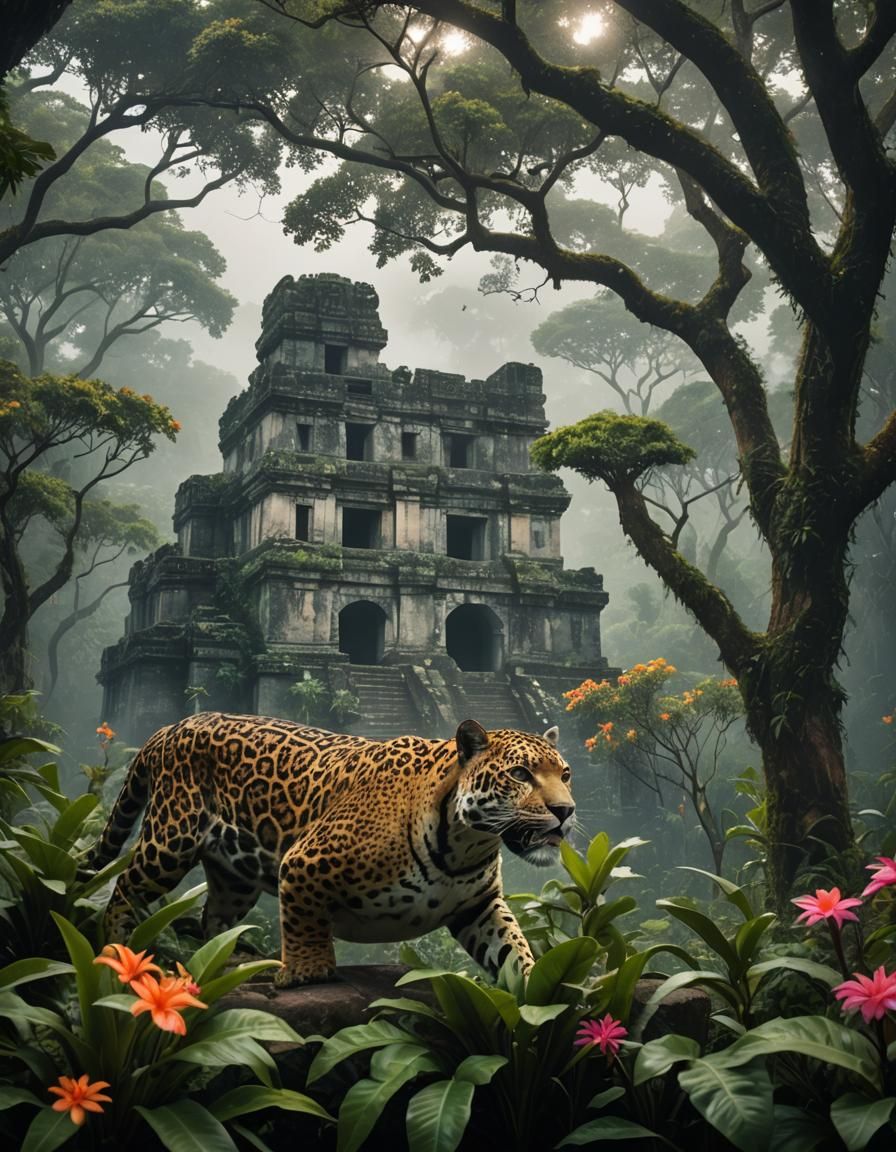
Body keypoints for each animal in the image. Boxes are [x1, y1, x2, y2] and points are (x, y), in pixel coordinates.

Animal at [90, 711, 576, 987]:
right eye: (519, 774)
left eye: (565, 774)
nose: (566, 811)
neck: (464, 843)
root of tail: (173, 725)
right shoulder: (302, 863)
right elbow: (304, 925)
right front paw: (306, 972)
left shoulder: (478, 906)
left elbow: (511, 945)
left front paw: (536, 988)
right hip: (170, 840)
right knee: (123, 889)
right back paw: (118, 952)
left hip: (234, 875)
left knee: (214, 917)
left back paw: (237, 958)